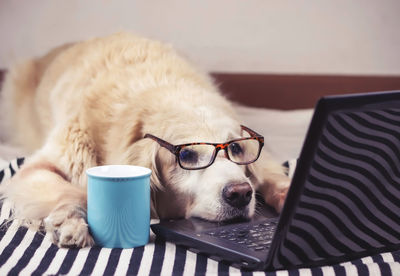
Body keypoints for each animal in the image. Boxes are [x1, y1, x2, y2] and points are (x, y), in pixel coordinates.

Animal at [0, 33, 290, 248]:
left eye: (236, 148)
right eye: (186, 156)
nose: (241, 194)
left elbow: (272, 175)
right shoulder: (39, 166)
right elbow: (70, 190)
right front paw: (69, 221)